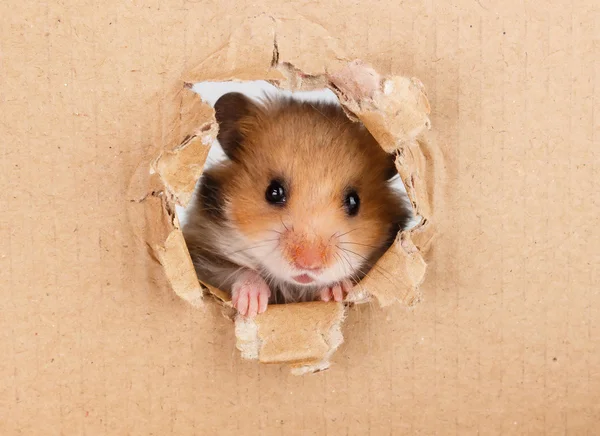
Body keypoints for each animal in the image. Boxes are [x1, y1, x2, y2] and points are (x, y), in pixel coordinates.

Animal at [180, 92, 410, 316]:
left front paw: (336, 291)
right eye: (273, 192)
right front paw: (252, 305)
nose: (309, 264)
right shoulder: (202, 257)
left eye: (354, 201)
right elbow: (238, 271)